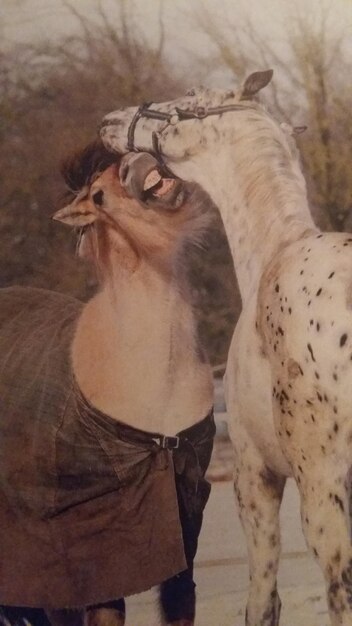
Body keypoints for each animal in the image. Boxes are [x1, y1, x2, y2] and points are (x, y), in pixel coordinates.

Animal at [101, 72, 352, 624]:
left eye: (184, 103)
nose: (108, 122)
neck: (275, 251)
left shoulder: (255, 477)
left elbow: (262, 599)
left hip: (322, 491)